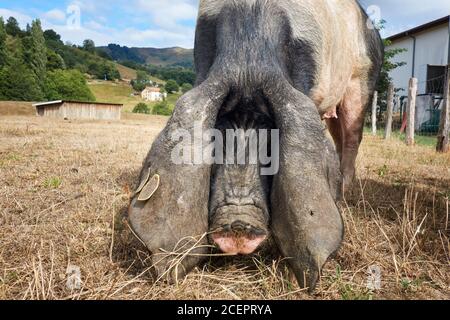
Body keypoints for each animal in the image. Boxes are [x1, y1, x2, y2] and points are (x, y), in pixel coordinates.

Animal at [128, 0, 382, 292]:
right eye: (215, 143)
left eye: (271, 150)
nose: (238, 224)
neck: (248, 60)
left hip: (362, 83)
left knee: (351, 139)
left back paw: (346, 197)